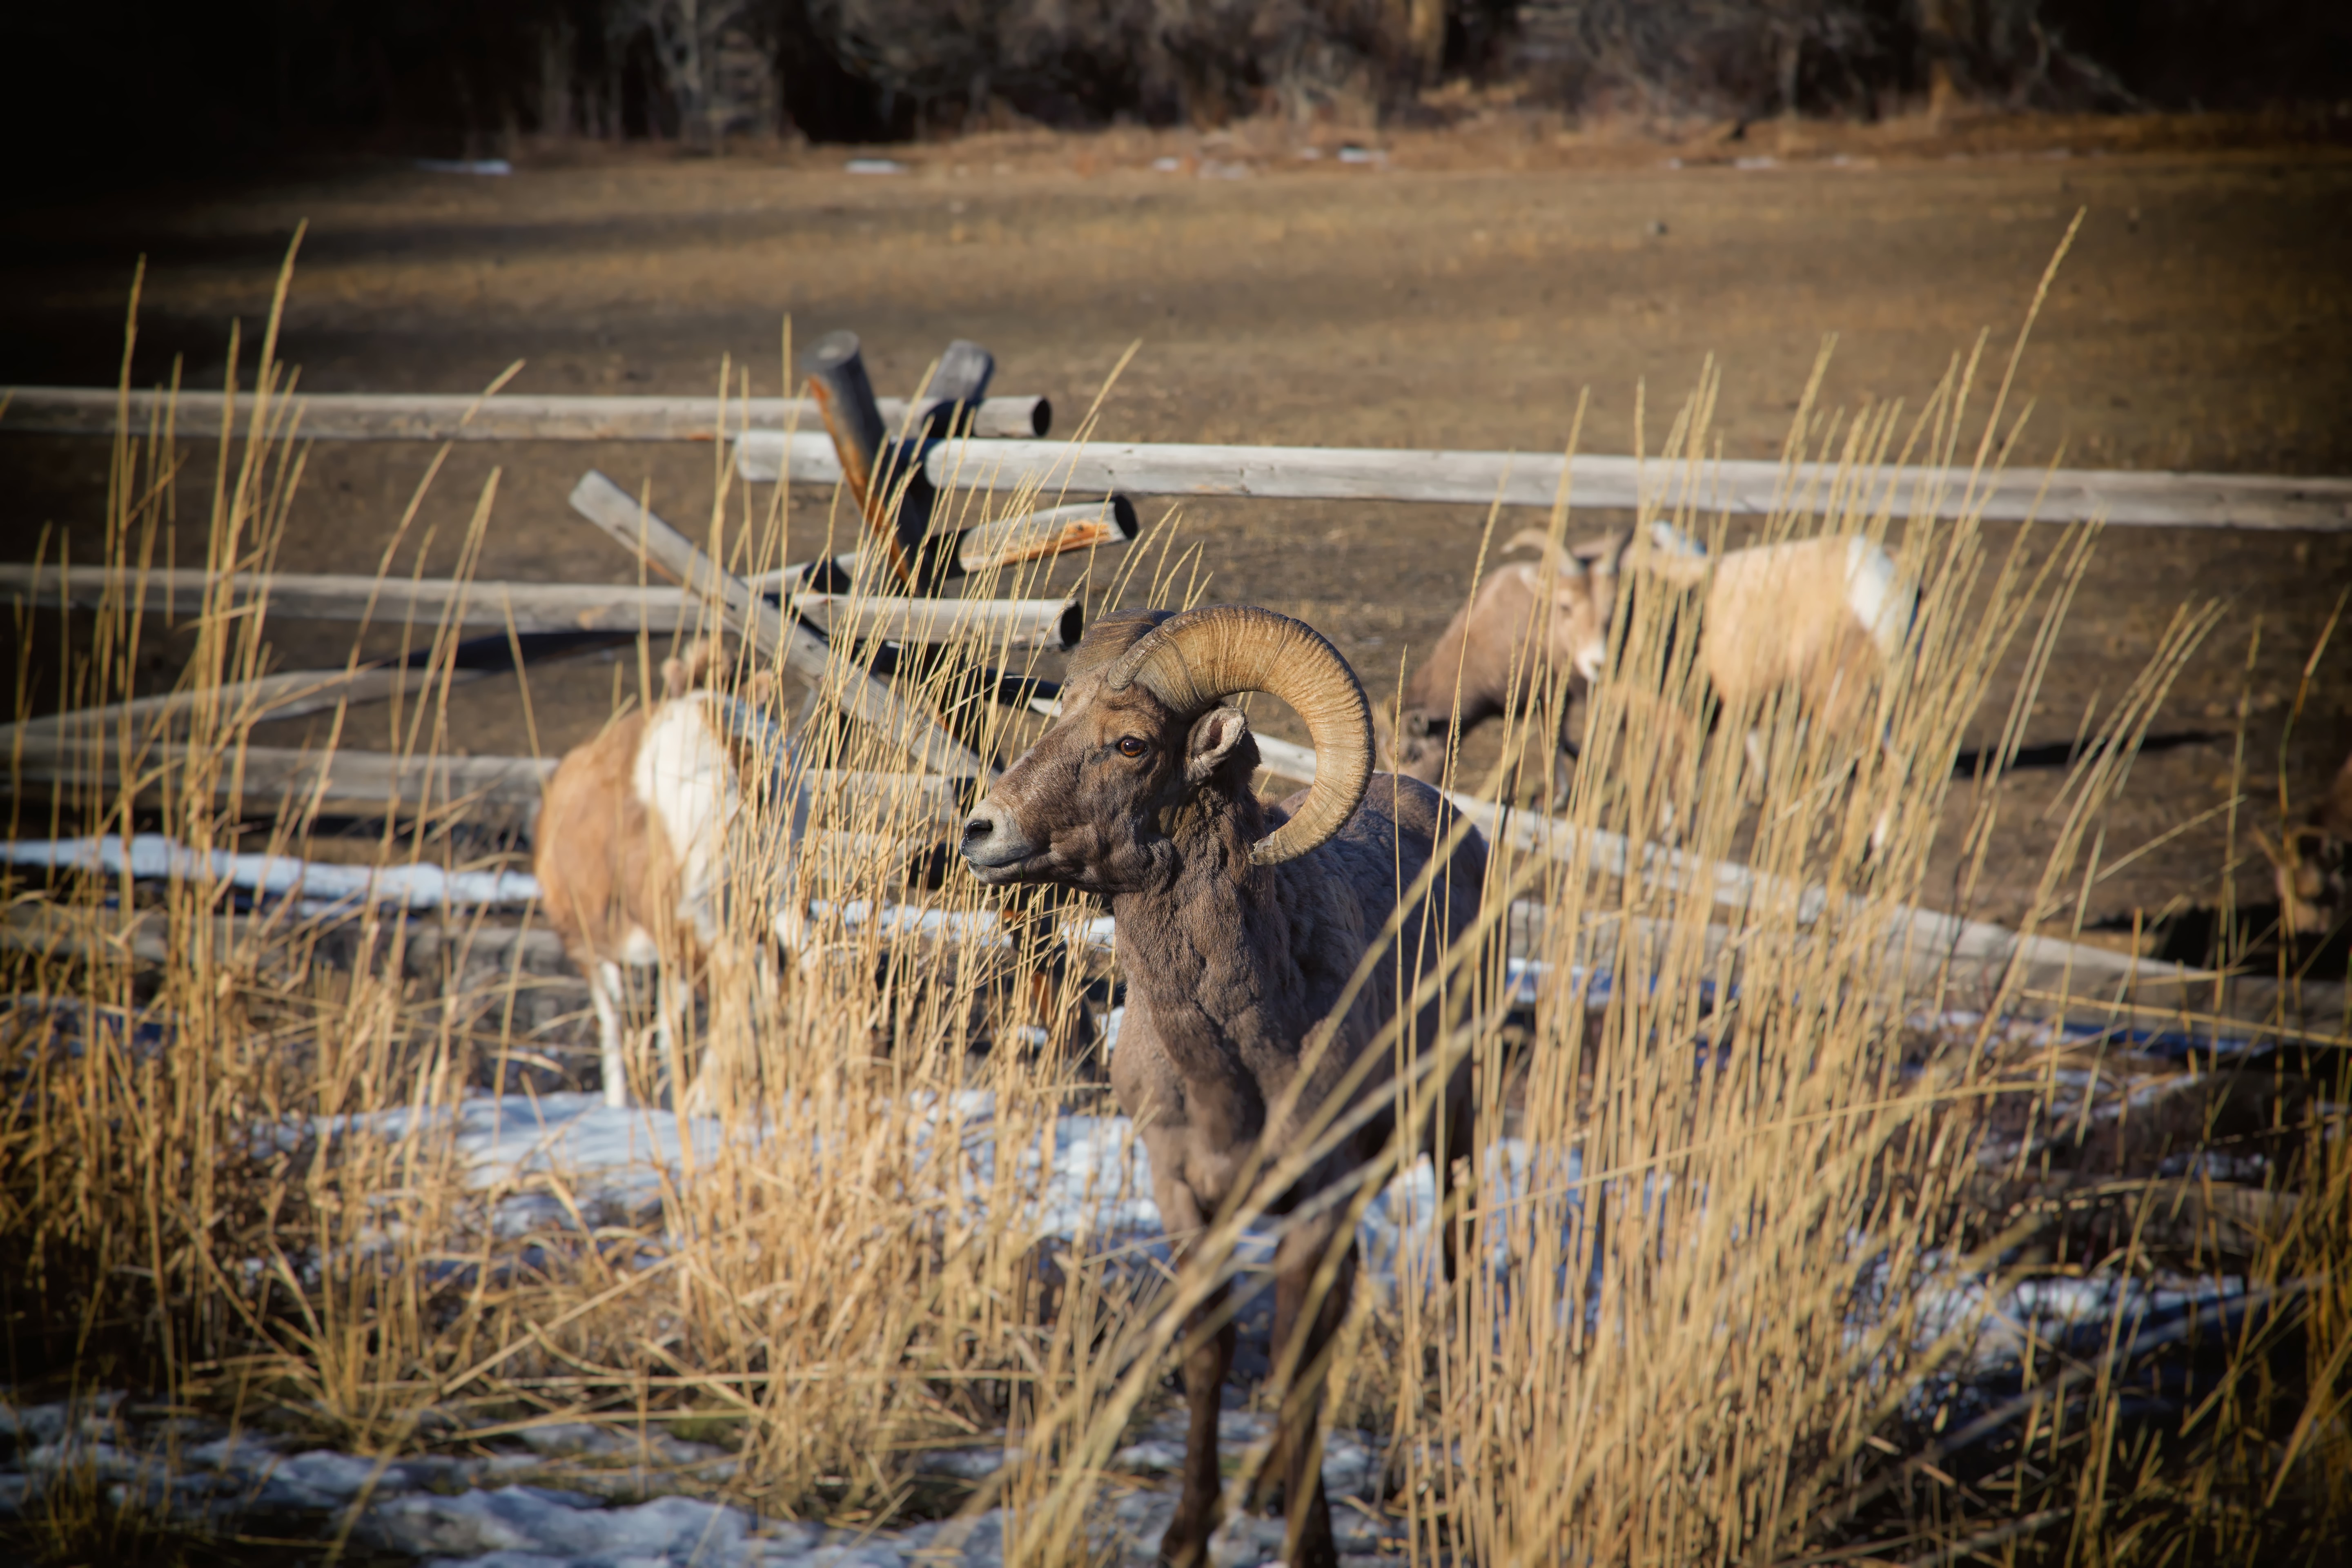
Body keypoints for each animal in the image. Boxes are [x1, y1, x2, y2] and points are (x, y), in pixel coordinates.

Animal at [534, 644, 800, 1109]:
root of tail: (731, 746)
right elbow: (668, 1024)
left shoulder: (585, 940)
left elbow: (614, 1026)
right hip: (779, 894)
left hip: (698, 911)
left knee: (734, 985)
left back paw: (705, 1100)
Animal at [950, 606, 1468, 1568]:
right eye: (1059, 714)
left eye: (1131, 743)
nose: (981, 832)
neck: (1229, 1069)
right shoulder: (1187, 1193)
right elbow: (1210, 1355)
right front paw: (1190, 1533)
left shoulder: (1313, 1201)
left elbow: (1295, 1362)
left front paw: (1311, 1545)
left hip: (1455, 1127)